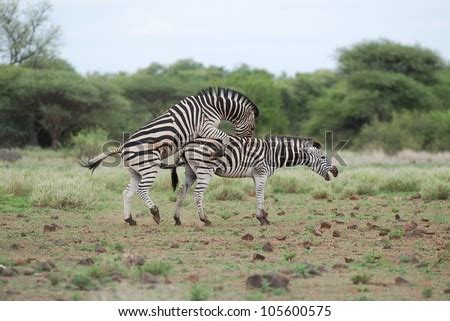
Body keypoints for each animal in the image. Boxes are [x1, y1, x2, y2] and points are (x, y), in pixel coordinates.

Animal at [79, 86, 258, 224]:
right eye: (253, 127)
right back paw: (155, 213)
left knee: (127, 192)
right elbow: (225, 137)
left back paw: (130, 219)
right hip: (149, 167)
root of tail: (122, 147)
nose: (247, 142)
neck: (213, 107)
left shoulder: (203, 130)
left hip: (135, 171)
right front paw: (220, 151)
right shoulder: (205, 126)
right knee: (142, 190)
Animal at [171, 135, 338, 225]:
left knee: (182, 191)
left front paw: (264, 216)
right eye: (323, 157)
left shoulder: (256, 176)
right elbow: (260, 194)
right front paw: (261, 218)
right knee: (198, 194)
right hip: (205, 170)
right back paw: (205, 219)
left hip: (190, 171)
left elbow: (260, 195)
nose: (336, 172)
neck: (273, 154)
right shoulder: (261, 173)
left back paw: (177, 219)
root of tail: (187, 145)